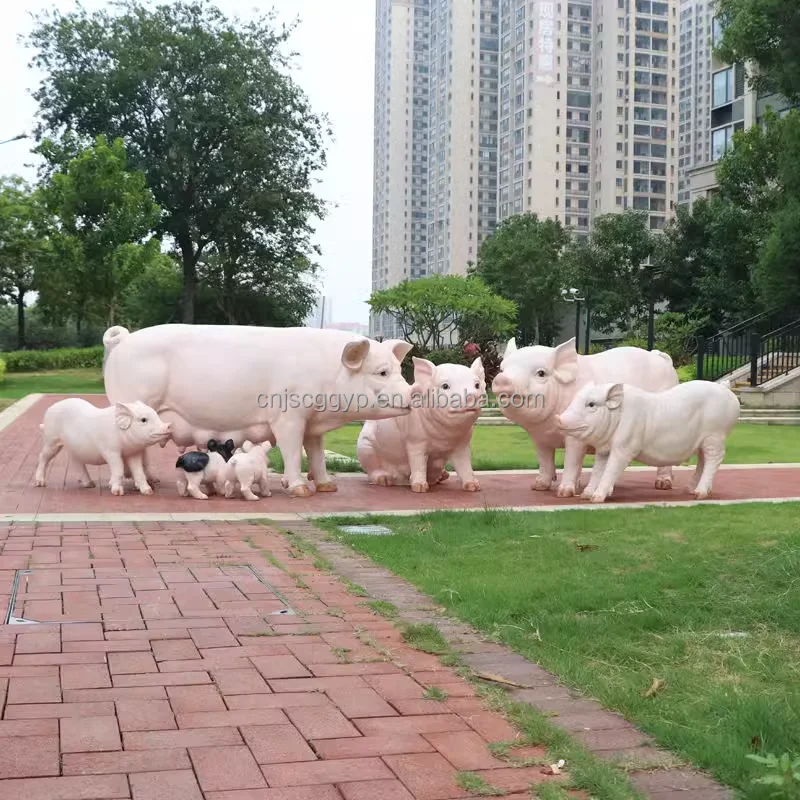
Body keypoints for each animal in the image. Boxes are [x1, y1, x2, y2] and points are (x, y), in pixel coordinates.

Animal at [34, 398, 171, 496]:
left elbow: (138, 470)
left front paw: (148, 492)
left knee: (75, 461)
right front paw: (117, 493)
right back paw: (39, 483)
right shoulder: (110, 450)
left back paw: (90, 485)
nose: (168, 425)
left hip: (73, 448)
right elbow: (118, 468)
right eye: (143, 420)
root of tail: (50, 408)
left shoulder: (134, 452)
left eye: (156, 415)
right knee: (42, 456)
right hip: (51, 439)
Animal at [102, 324, 415, 497]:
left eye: (399, 370)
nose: (414, 391)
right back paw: (142, 485)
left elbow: (316, 454)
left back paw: (152, 481)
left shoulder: (313, 423)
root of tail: (123, 339)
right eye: (382, 372)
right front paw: (299, 489)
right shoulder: (288, 416)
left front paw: (328, 487)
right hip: (132, 402)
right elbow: (292, 451)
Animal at [356, 357, 486, 492]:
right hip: (365, 448)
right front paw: (420, 488)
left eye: (477, 385)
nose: (472, 395)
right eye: (445, 386)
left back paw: (443, 476)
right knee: (372, 471)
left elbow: (464, 465)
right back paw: (385, 480)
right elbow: (418, 462)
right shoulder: (415, 440)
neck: (444, 436)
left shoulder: (463, 444)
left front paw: (474, 486)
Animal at [491, 337, 679, 497]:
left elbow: (571, 460)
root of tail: (662, 358)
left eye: (541, 373)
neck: (548, 426)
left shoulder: (576, 435)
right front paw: (538, 486)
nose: (501, 379)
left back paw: (663, 485)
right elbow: (544, 460)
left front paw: (563, 493)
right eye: (502, 369)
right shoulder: (540, 438)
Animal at [555, 380, 740, 502]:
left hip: (715, 434)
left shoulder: (625, 446)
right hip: (704, 440)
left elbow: (611, 469)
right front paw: (586, 495)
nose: (559, 418)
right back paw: (688, 491)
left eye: (591, 404)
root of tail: (726, 389)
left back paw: (699, 494)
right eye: (575, 399)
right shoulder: (603, 449)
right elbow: (597, 470)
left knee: (714, 458)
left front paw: (597, 498)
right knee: (702, 460)